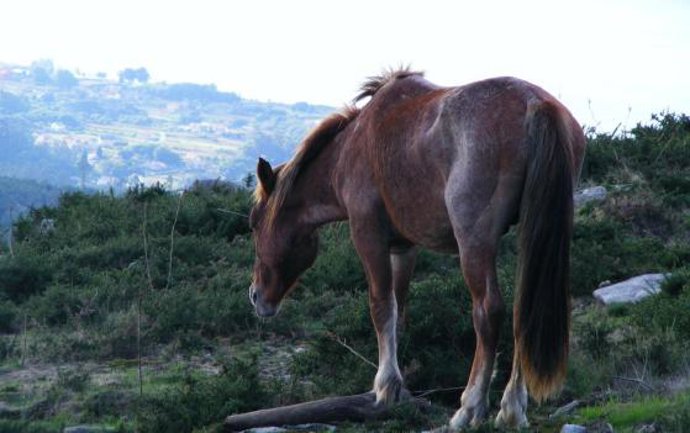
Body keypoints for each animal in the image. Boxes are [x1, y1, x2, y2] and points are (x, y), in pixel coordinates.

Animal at [248, 68, 586, 430]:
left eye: (253, 223)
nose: (256, 296)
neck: (350, 149)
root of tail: (536, 105)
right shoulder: (403, 248)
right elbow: (399, 308)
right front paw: (399, 384)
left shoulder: (368, 236)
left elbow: (381, 305)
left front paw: (385, 387)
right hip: (530, 235)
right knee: (524, 310)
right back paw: (511, 409)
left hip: (474, 241)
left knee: (488, 311)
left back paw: (470, 408)